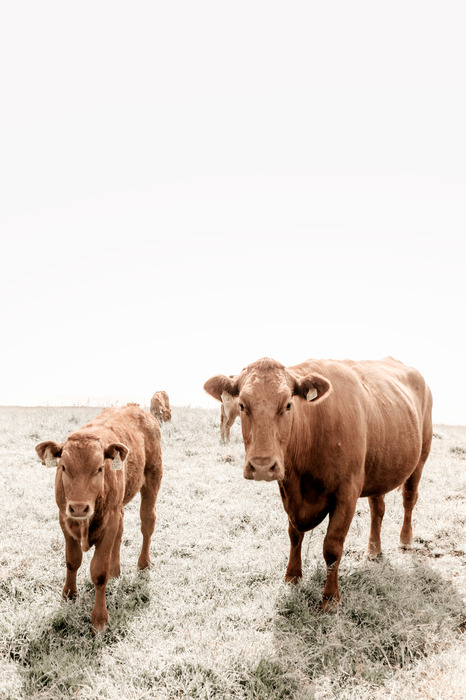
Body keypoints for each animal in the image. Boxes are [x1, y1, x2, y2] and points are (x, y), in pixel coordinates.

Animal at [35, 404, 163, 633]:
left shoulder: (108, 521)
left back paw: (143, 564)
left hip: (152, 479)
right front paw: (69, 595)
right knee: (121, 531)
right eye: (63, 467)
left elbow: (99, 572)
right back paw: (115, 570)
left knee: (148, 522)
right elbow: (72, 561)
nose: (79, 507)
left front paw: (99, 620)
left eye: (100, 468)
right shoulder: (64, 519)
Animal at [204, 357, 433, 609]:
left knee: (409, 499)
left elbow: (332, 547)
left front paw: (330, 598)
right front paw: (292, 577)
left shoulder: (346, 495)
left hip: (420, 458)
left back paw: (405, 540)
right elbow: (294, 535)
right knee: (377, 509)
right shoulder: (289, 494)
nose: (262, 466)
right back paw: (373, 550)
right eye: (242, 405)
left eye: (288, 405)